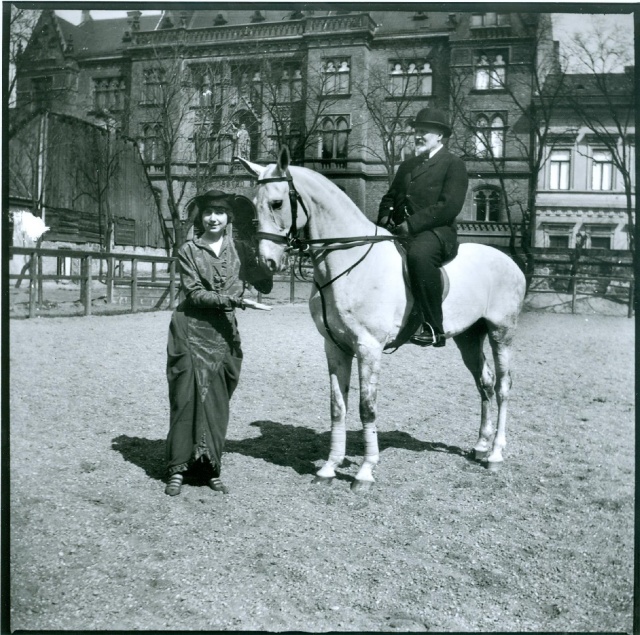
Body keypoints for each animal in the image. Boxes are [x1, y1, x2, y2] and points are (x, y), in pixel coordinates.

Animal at [236, 148, 524, 492]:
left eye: (278, 203)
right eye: (254, 204)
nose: (267, 263)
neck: (347, 262)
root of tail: (509, 260)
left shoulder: (369, 347)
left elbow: (366, 407)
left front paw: (365, 471)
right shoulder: (335, 346)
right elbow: (337, 406)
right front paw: (329, 467)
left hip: (501, 332)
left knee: (504, 386)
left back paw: (495, 454)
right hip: (468, 336)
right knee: (485, 382)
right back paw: (480, 446)